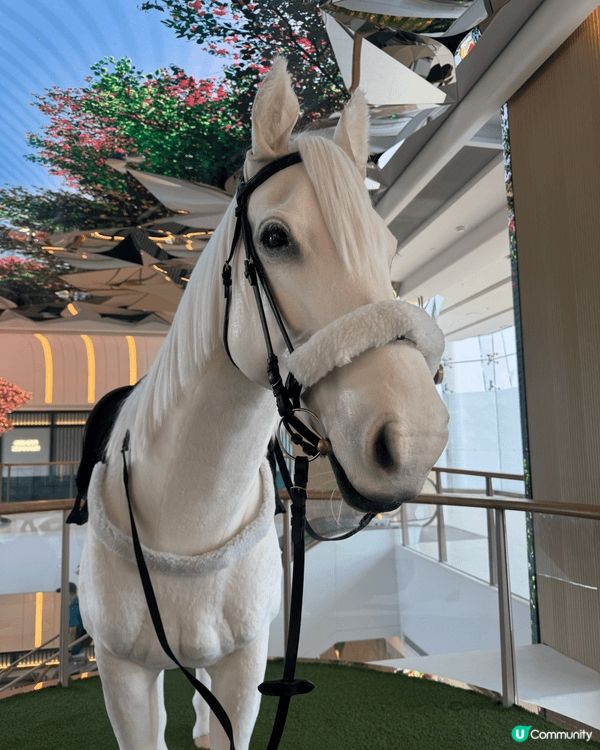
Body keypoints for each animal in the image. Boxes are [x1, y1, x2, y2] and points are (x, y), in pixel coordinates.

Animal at [78, 58, 449, 750]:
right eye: (274, 237)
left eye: (387, 248)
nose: (414, 439)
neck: (189, 518)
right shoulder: (121, 676)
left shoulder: (244, 665)